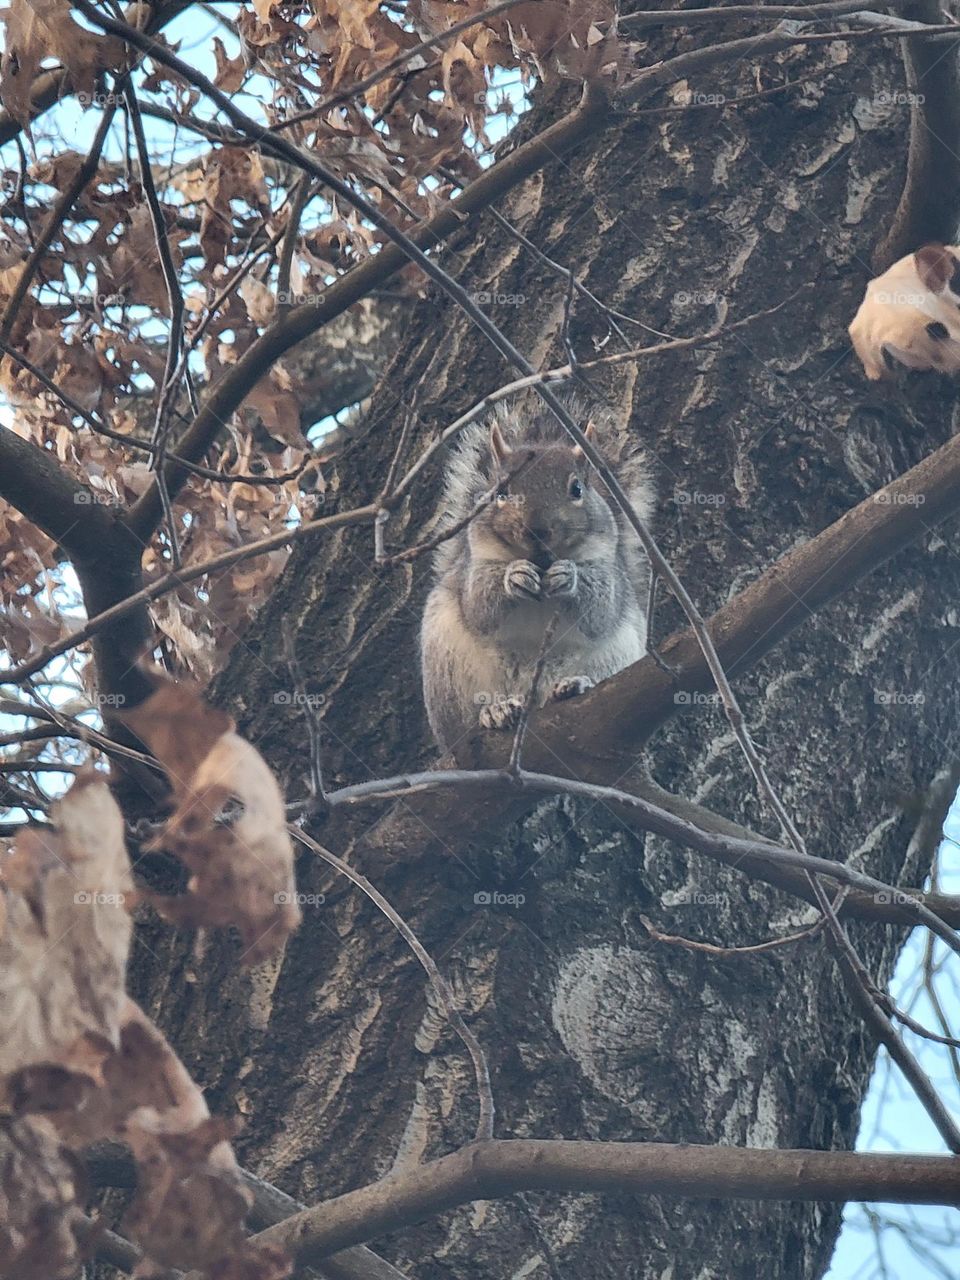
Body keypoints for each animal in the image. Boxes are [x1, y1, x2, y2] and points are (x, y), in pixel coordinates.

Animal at [420, 401, 655, 753]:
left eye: (577, 488)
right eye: (501, 492)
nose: (537, 529)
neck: (541, 561)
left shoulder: (608, 566)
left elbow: (600, 611)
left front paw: (569, 578)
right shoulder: (474, 564)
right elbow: (479, 606)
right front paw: (513, 577)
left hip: (617, 656)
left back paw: (575, 684)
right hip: (449, 674)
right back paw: (495, 711)